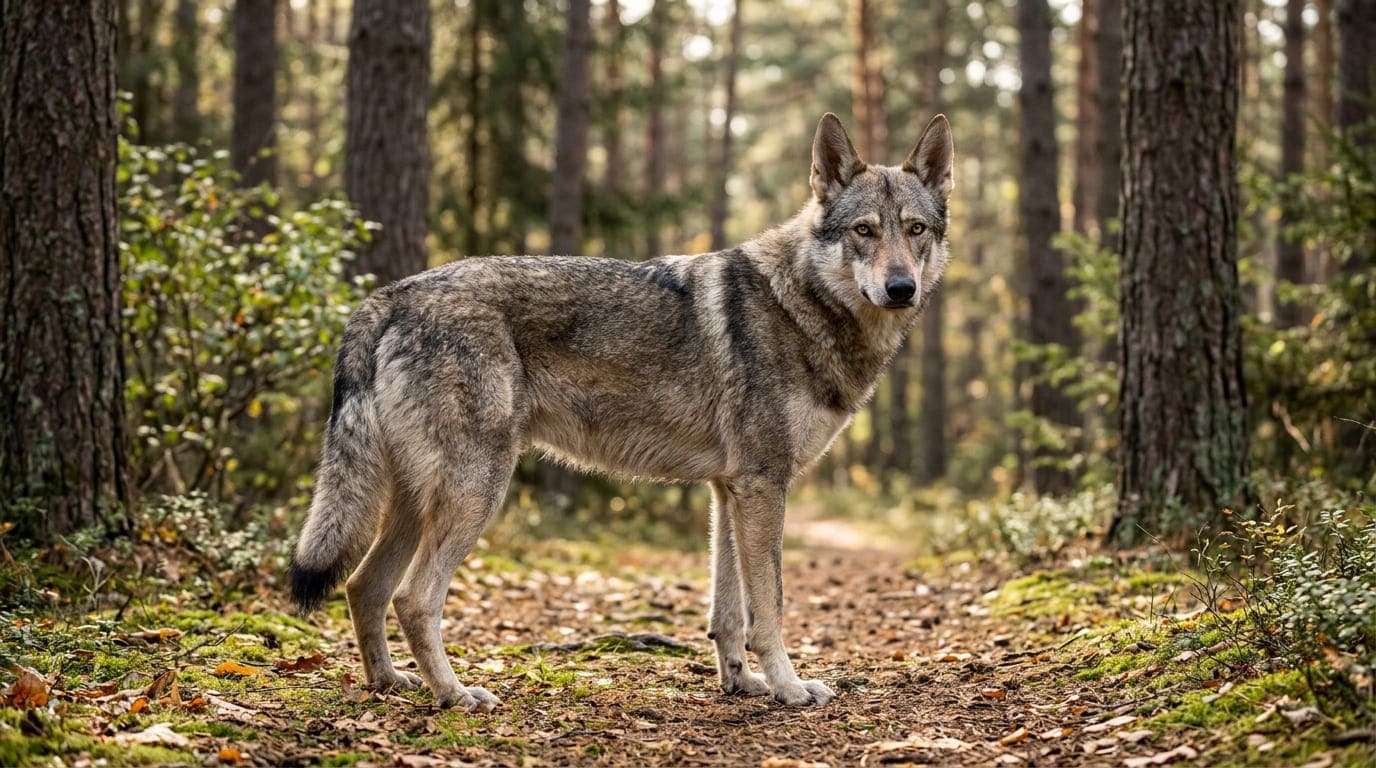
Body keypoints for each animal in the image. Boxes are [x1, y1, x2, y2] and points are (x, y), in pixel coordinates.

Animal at [288, 112, 953, 709]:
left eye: (916, 229)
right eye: (864, 230)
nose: (901, 289)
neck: (801, 304)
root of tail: (391, 295)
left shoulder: (729, 490)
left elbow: (728, 614)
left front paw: (743, 685)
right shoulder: (764, 486)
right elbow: (770, 607)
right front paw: (789, 688)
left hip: (415, 499)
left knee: (362, 586)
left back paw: (388, 684)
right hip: (476, 490)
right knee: (412, 597)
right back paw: (454, 695)